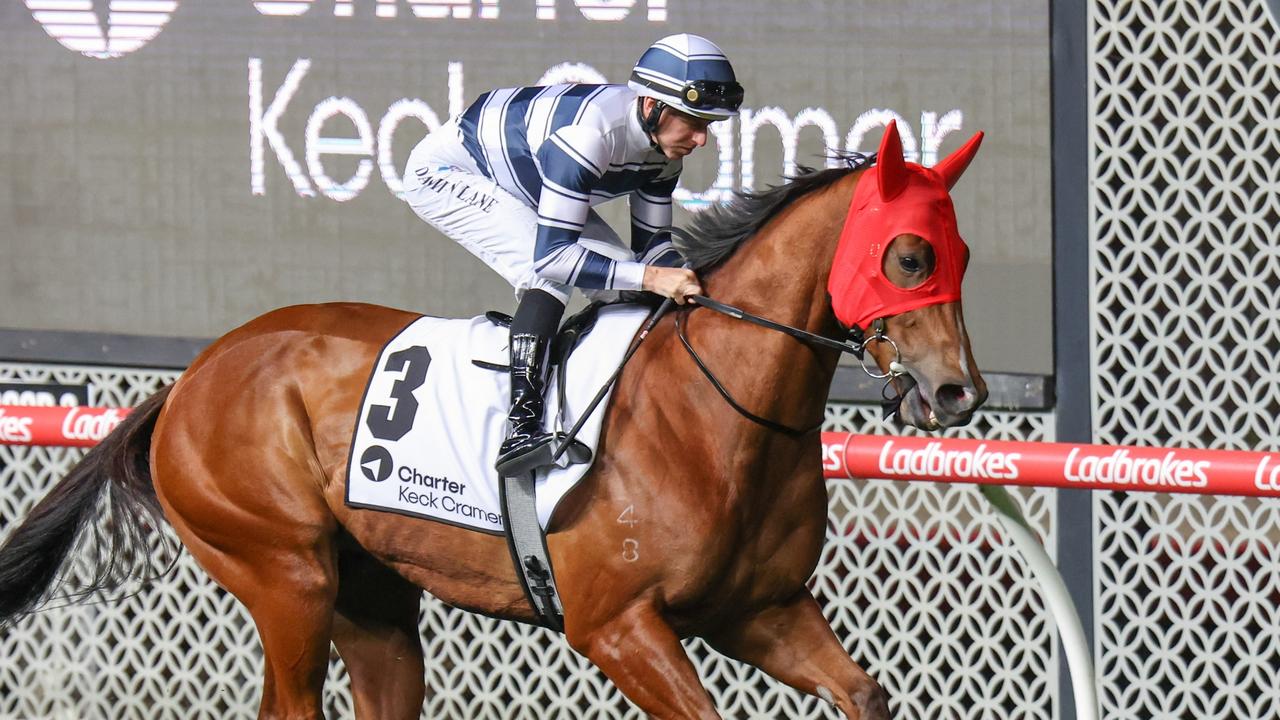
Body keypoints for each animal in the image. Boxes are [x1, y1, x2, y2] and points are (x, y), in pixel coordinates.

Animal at [0, 120, 988, 712]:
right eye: (908, 255)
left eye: (961, 252)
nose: (959, 393)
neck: (715, 416)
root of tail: (193, 377)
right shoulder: (616, 624)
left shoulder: (764, 609)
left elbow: (864, 693)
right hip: (283, 571)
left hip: (372, 599)